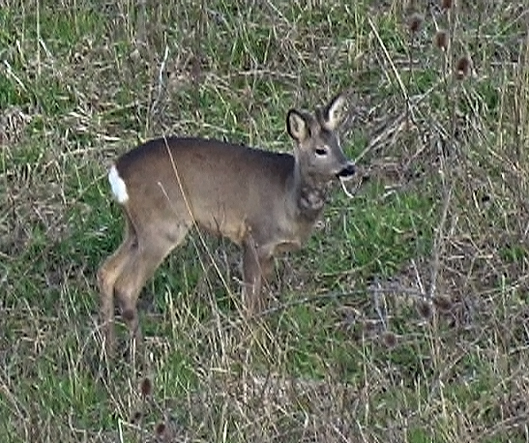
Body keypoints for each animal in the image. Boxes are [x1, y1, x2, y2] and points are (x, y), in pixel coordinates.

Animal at [97, 93, 356, 354]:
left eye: (338, 143)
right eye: (320, 150)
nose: (349, 168)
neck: (289, 198)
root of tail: (117, 172)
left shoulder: (270, 251)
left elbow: (262, 299)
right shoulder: (254, 238)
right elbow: (249, 300)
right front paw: (250, 344)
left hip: (135, 229)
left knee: (106, 271)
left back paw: (110, 351)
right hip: (162, 226)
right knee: (126, 287)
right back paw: (140, 354)